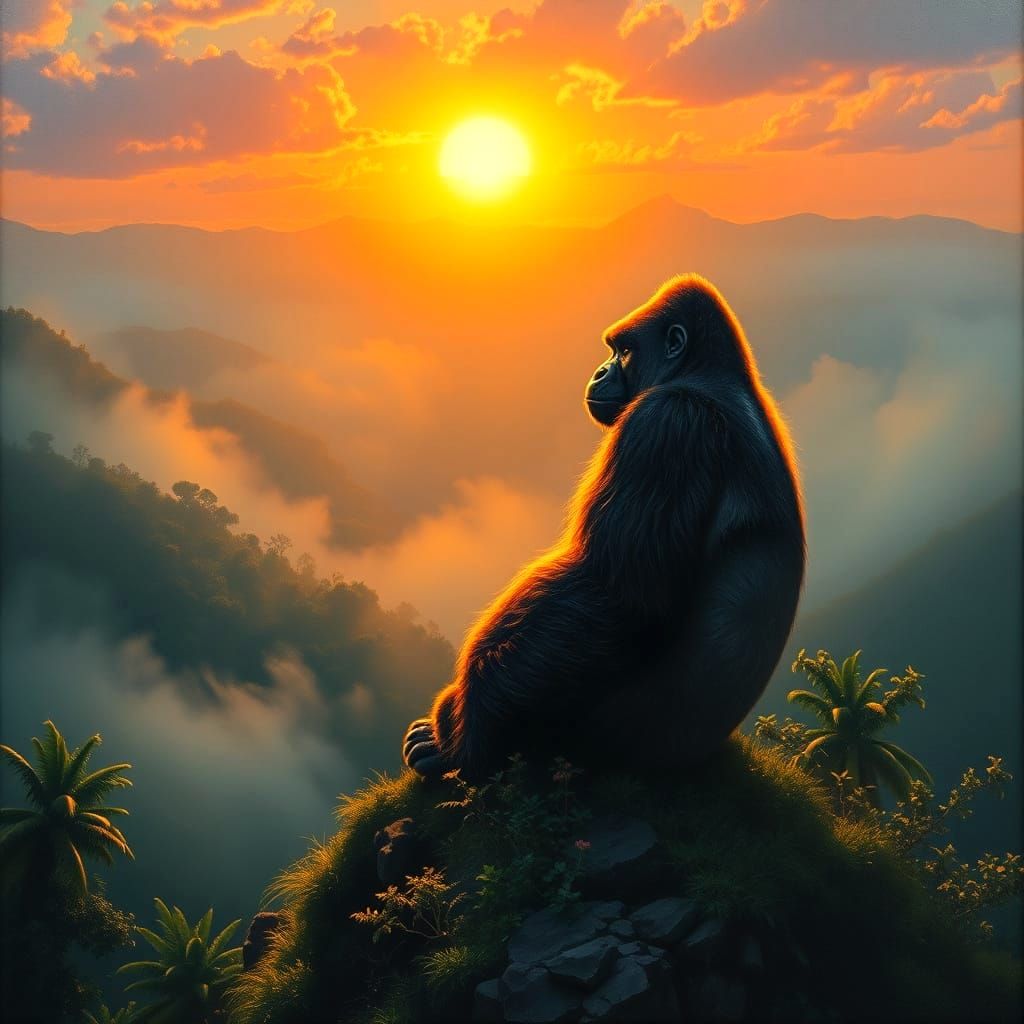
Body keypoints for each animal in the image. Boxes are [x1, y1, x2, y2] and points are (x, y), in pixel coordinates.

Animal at [403, 274, 805, 782]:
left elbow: (619, 599)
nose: (598, 372)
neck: (704, 373)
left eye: (624, 351)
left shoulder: (666, 424)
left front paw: (462, 739)